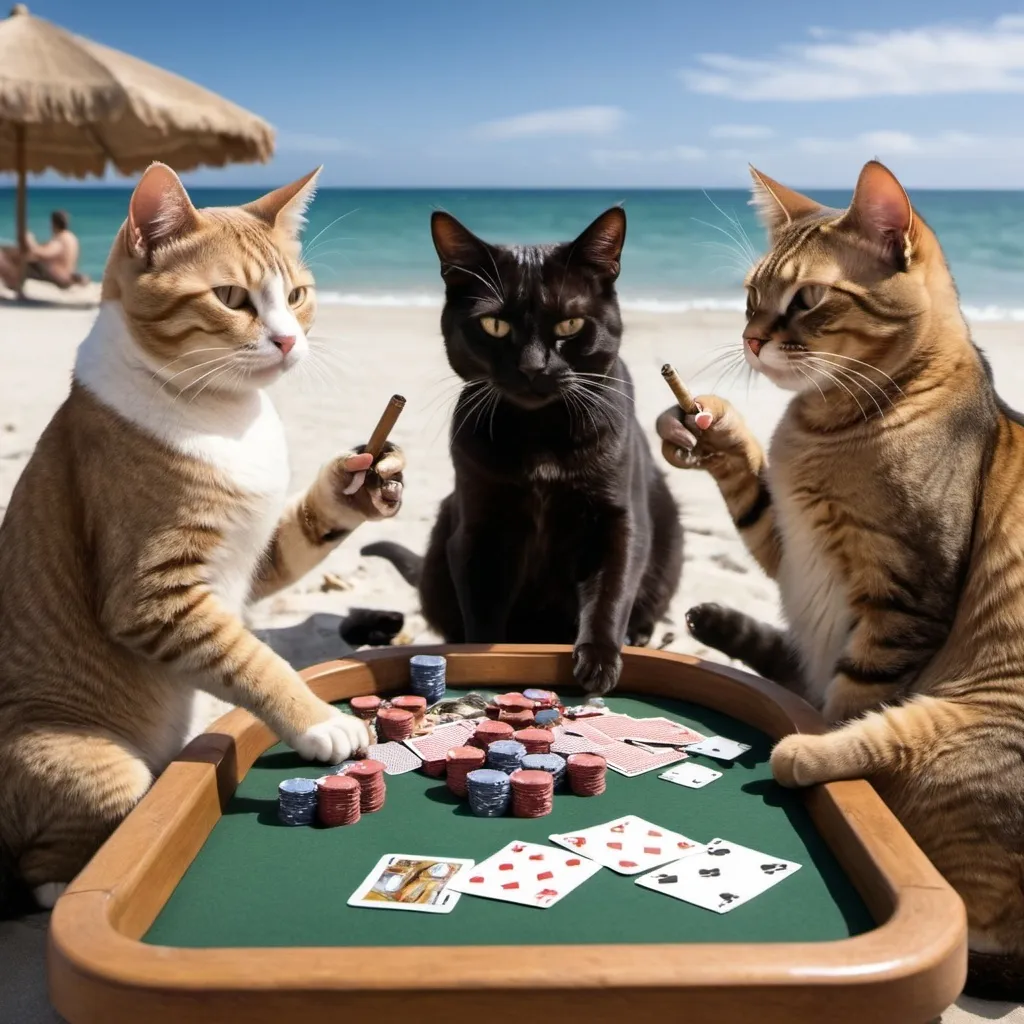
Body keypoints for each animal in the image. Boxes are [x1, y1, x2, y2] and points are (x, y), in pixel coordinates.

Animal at [0, 161, 405, 913]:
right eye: (231, 298)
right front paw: (320, 721)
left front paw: (359, 484)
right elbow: (255, 661)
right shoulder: (155, 598)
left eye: (296, 296)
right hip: (96, 763)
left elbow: (308, 530)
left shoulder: (254, 561)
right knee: (47, 868)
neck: (227, 415)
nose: (288, 340)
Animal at [364, 203, 684, 692]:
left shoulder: (619, 519)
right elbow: (483, 613)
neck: (540, 436)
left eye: (570, 324)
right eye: (494, 325)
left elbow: (610, 591)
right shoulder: (479, 528)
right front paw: (484, 661)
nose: (534, 367)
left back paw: (640, 636)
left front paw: (599, 661)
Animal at [655, 161, 1024, 999]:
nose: (752, 337)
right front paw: (706, 425)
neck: (828, 422)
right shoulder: (788, 545)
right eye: (750, 295)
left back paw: (801, 752)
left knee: (879, 748)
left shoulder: (903, 599)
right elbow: (749, 487)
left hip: (975, 712)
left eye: (805, 300)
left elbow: (854, 695)